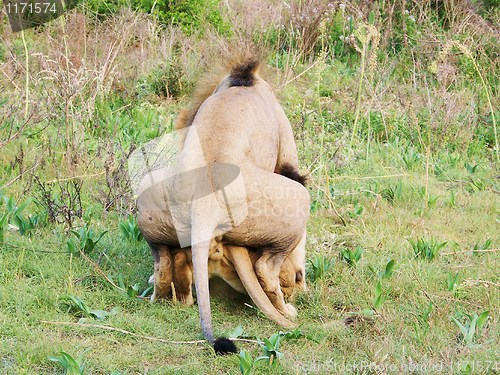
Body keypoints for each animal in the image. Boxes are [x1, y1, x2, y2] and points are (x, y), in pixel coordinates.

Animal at [137, 53, 308, 356]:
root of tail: (204, 204)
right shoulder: (288, 154)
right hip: (298, 198)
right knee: (266, 269)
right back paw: (287, 311)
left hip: (149, 190)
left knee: (164, 263)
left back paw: (164, 295)